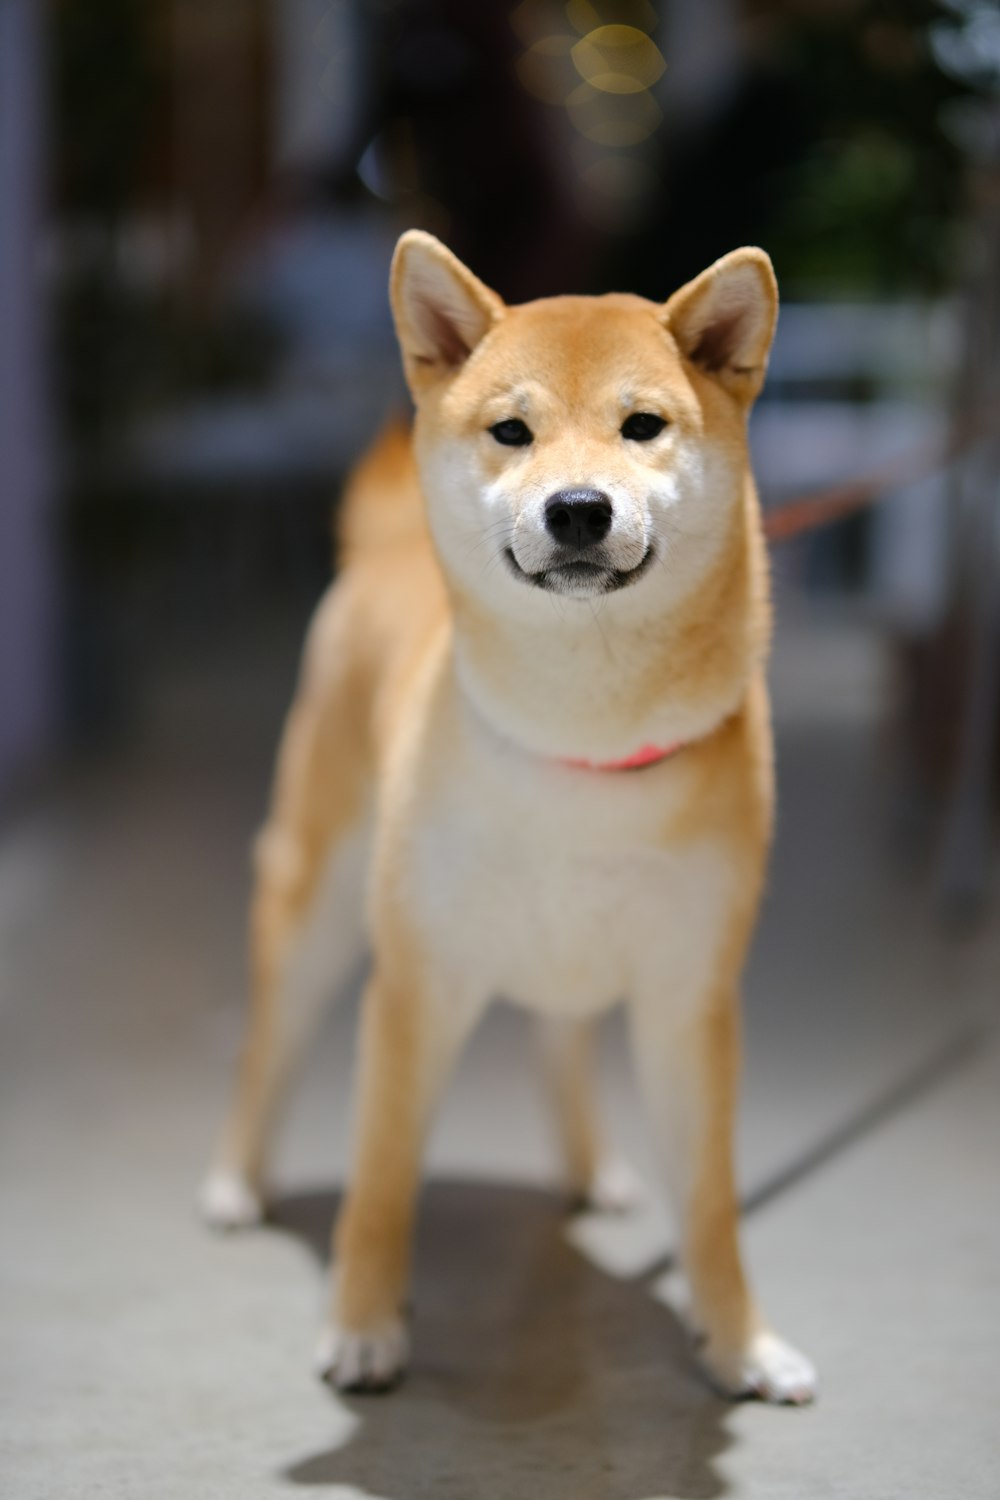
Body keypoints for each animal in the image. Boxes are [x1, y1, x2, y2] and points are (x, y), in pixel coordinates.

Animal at [200, 228, 821, 1398]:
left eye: (641, 424)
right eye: (511, 431)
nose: (577, 507)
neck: (579, 738)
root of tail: (385, 551)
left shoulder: (688, 997)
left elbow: (712, 1206)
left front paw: (740, 1341)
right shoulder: (414, 984)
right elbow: (380, 1179)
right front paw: (363, 1324)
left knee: (558, 1041)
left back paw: (593, 1169)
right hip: (313, 903)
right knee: (269, 1043)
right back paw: (234, 1180)